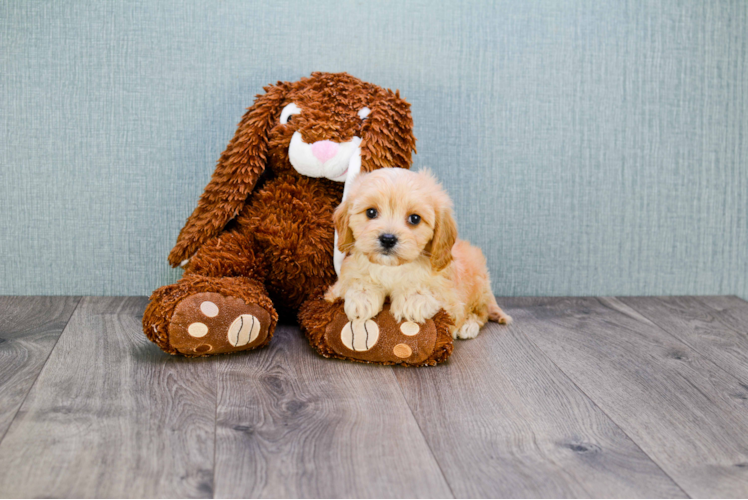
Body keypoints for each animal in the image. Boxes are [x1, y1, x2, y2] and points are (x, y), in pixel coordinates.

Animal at [324, 169, 512, 340]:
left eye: (414, 219)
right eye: (371, 212)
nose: (388, 239)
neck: (391, 268)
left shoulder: (451, 298)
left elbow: (431, 292)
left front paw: (413, 299)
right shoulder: (335, 289)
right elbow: (353, 282)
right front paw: (362, 296)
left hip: (479, 286)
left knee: (482, 312)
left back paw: (468, 326)